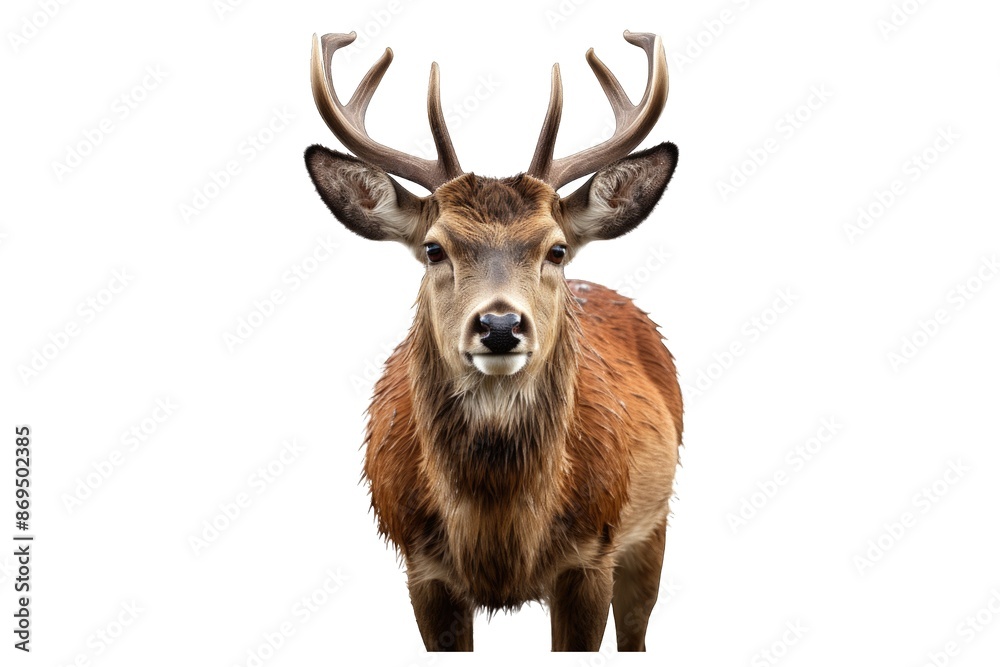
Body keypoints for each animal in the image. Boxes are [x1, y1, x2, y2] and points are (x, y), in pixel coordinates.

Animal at [304, 29, 682, 652]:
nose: (500, 326)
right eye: (434, 248)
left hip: (654, 524)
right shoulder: (422, 566)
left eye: (556, 248)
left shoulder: (592, 552)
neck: (498, 528)